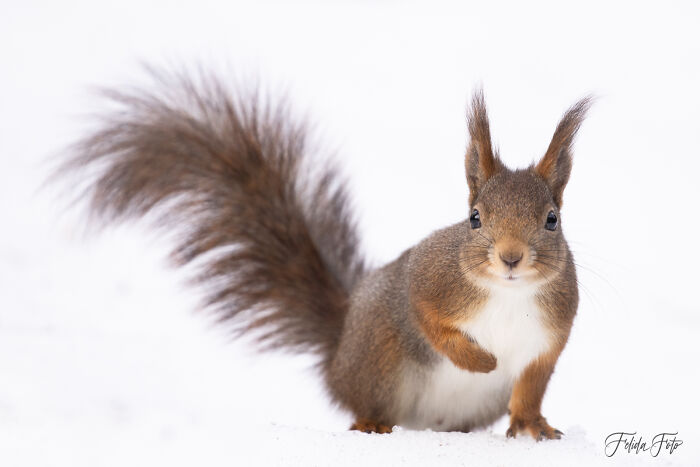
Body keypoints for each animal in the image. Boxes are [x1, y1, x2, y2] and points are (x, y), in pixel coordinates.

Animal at [60, 70, 590, 440]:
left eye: (552, 220)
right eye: (474, 218)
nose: (511, 257)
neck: (507, 295)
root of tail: (339, 355)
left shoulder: (549, 337)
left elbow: (530, 387)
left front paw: (533, 426)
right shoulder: (428, 278)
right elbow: (428, 319)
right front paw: (480, 361)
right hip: (380, 360)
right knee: (366, 405)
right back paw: (371, 425)